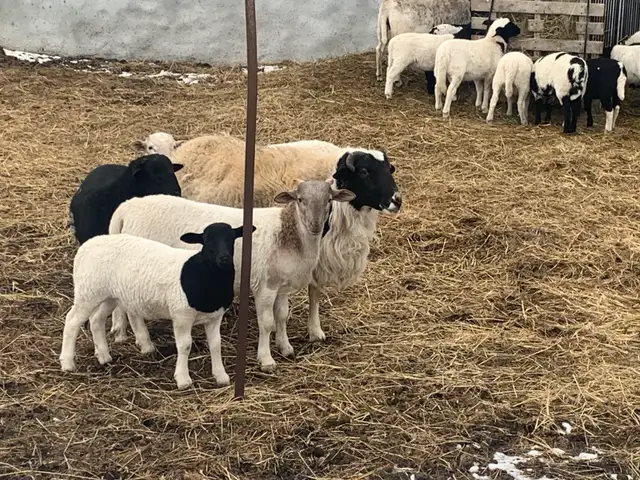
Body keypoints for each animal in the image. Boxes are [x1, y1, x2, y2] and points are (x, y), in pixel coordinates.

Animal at [59, 222, 253, 389]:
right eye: (206, 240)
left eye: (232, 238)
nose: (224, 258)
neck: (203, 274)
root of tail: (86, 246)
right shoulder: (181, 315)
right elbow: (185, 345)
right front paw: (183, 379)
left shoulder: (215, 316)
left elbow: (215, 344)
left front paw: (221, 376)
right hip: (88, 292)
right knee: (72, 321)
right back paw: (67, 362)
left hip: (110, 295)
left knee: (96, 320)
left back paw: (104, 356)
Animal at [107, 180, 356, 372]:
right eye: (300, 199)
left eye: (329, 200)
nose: (315, 225)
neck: (288, 234)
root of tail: (127, 208)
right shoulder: (264, 287)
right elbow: (266, 323)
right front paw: (266, 359)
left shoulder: (281, 285)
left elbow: (282, 316)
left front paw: (285, 348)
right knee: (132, 309)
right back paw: (145, 343)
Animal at [110, 143, 402, 353]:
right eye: (364, 172)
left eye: (389, 169)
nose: (397, 201)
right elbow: (310, 296)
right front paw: (312, 331)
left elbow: (310, 295)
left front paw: (312, 331)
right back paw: (124, 332)